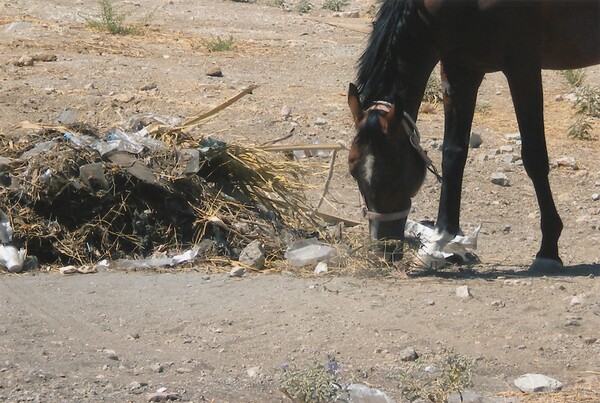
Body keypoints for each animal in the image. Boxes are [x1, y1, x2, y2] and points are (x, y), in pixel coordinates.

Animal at [350, 0, 596, 274]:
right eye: (353, 171)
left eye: (391, 172)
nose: (383, 250)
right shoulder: (460, 69)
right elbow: (453, 154)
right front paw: (442, 241)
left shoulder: (522, 67)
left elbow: (534, 158)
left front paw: (549, 250)